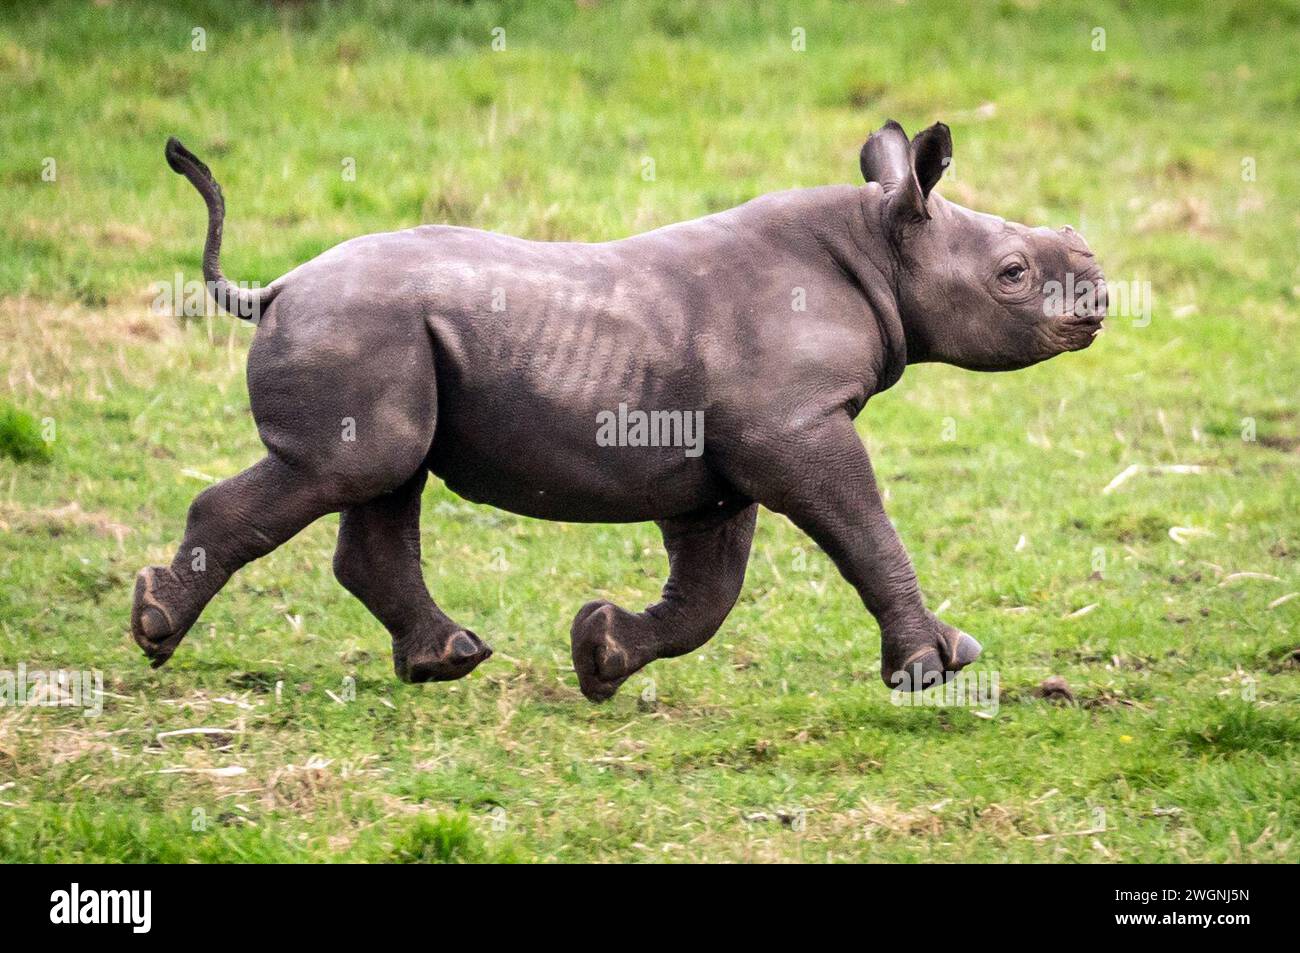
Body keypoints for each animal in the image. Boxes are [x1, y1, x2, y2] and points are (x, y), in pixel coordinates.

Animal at [134, 120, 1107, 696]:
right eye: (1012, 274)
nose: (1099, 297)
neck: (882, 242)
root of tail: (276, 288)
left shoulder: (725, 459)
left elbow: (710, 591)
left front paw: (600, 654)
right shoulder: (792, 427)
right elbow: (865, 529)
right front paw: (927, 669)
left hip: (382, 335)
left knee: (382, 479)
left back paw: (449, 660)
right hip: (356, 327)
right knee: (353, 467)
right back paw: (154, 632)